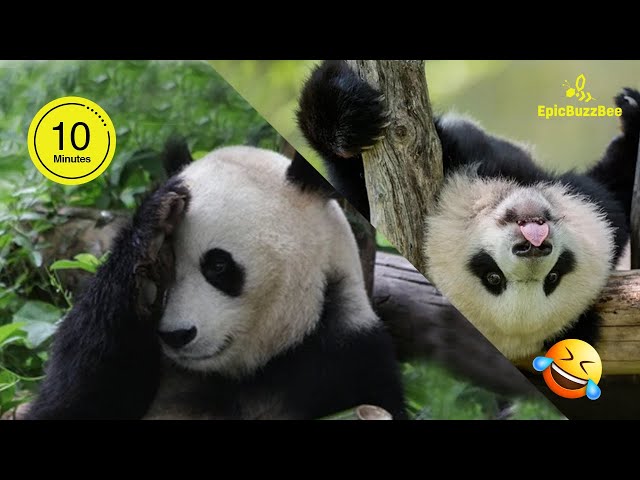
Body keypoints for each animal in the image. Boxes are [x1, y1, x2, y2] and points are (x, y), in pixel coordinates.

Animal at [25, 142, 407, 420]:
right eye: (167, 267)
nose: (175, 335)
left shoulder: (351, 359)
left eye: (218, 266)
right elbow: (68, 402)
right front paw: (150, 235)